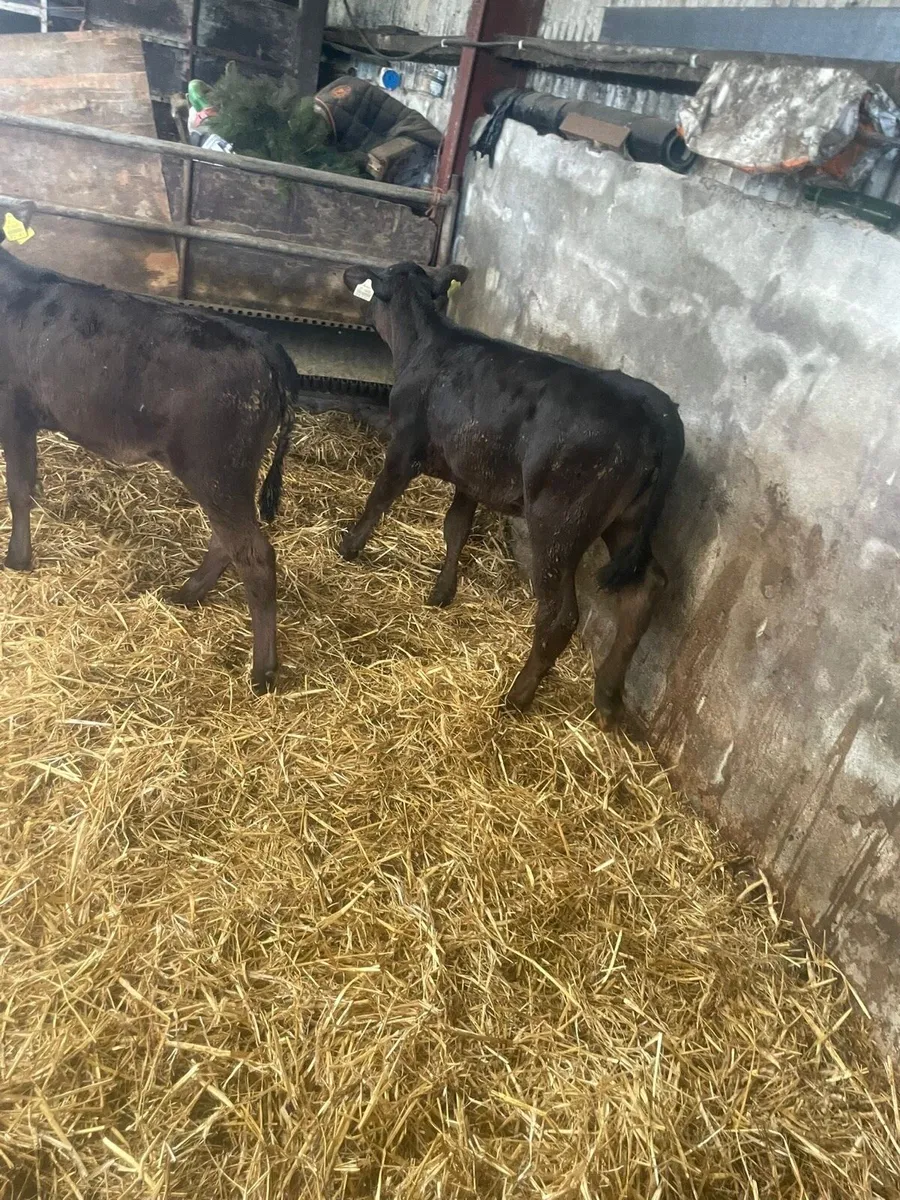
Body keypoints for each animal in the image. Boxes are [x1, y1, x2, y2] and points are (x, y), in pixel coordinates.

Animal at [0, 203, 297, 694]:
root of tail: (262, 343)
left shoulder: (14, 410)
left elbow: (18, 488)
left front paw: (17, 559)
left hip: (215, 469)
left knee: (254, 556)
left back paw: (262, 671)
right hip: (228, 473)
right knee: (227, 542)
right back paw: (186, 594)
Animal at [341, 261, 684, 723]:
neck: (425, 344)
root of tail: (652, 406)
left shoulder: (404, 446)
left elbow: (379, 499)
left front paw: (349, 546)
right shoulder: (471, 472)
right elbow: (455, 527)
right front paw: (442, 592)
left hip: (559, 520)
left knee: (560, 613)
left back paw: (519, 695)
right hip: (627, 521)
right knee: (644, 590)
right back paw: (608, 699)